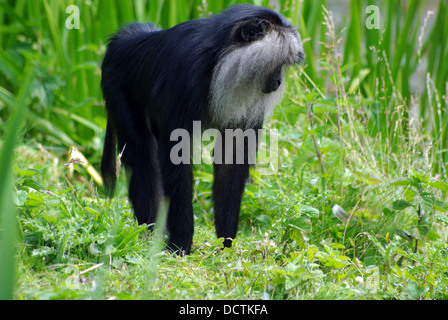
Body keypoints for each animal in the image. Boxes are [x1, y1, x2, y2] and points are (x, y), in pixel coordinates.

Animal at [101, 4, 304, 255]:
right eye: (276, 64)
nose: (277, 82)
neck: (218, 58)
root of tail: (124, 40)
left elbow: (232, 161)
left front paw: (226, 245)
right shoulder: (186, 72)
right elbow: (175, 158)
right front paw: (180, 244)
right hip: (117, 88)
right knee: (141, 157)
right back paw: (150, 234)